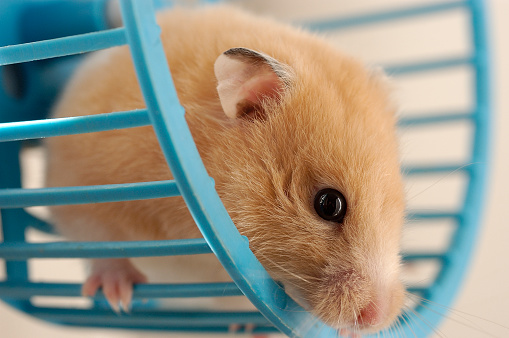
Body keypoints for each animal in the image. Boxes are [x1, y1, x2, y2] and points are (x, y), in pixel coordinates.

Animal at [44, 4, 404, 336]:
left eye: (397, 209)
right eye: (328, 204)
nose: (377, 319)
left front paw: (249, 326)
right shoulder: (82, 188)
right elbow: (99, 242)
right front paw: (119, 298)